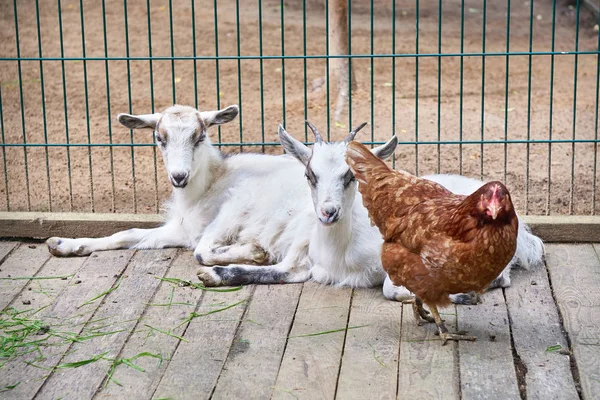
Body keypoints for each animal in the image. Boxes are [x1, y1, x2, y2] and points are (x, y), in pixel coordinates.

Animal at [197, 122, 544, 304]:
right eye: (310, 174)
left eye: (351, 176)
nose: (328, 212)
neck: (344, 251)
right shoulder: (308, 263)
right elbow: (277, 271)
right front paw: (211, 275)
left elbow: (392, 288)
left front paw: (459, 295)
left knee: (502, 275)